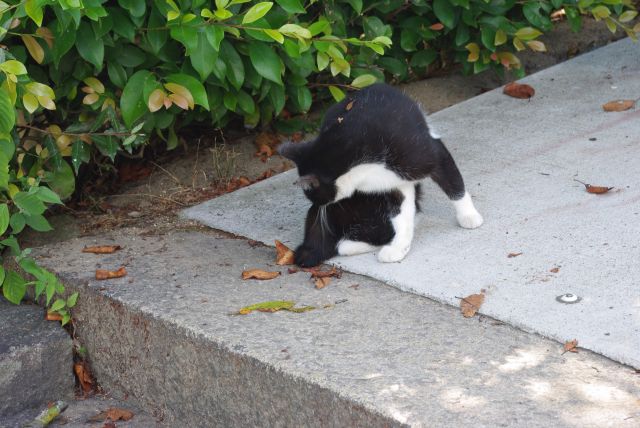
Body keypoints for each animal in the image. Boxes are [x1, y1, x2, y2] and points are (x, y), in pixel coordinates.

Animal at [278, 83, 482, 264]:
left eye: (312, 195)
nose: (319, 206)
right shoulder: (391, 185)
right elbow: (400, 216)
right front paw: (398, 248)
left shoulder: (428, 154)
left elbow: (453, 182)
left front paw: (469, 215)